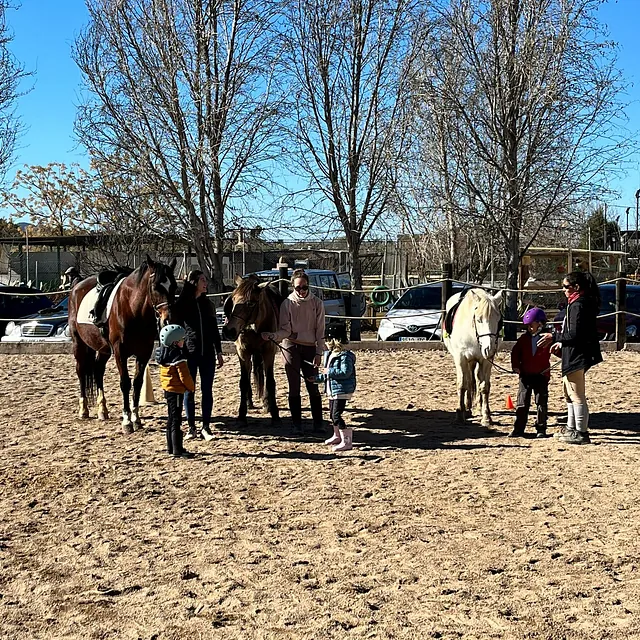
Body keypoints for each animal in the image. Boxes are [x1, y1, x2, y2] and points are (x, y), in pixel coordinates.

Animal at [69, 258, 178, 432]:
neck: (133, 309)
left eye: (174, 286)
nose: (168, 319)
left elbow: (138, 383)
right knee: (80, 371)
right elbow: (125, 383)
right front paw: (127, 421)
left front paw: (136, 419)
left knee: (98, 370)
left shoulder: (144, 352)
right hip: (78, 344)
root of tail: (77, 287)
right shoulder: (120, 352)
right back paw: (83, 410)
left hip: (103, 349)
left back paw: (102, 410)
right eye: (155, 287)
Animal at [224, 274, 286, 424]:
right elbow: (243, 381)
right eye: (233, 300)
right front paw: (242, 414)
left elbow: (270, 381)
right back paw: (249, 402)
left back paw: (266, 403)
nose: (229, 331)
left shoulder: (269, 352)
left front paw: (275, 413)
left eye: (251, 303)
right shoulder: (243, 352)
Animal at [442, 288, 502, 428]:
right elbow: (462, 384)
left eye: (498, 320)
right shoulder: (461, 358)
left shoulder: (486, 361)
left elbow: (484, 386)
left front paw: (486, 417)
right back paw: (467, 408)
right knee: (468, 380)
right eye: (479, 319)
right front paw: (460, 414)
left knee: (476, 380)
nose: (489, 348)